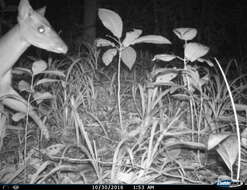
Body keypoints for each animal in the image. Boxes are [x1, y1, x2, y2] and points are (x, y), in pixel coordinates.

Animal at [0, 0, 67, 140]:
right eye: (40, 28)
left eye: (50, 24)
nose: (65, 48)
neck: (2, 67)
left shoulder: (4, 89)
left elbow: (28, 107)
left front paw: (46, 135)